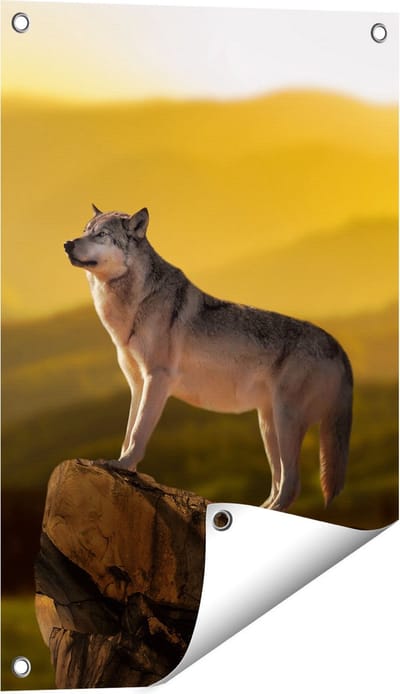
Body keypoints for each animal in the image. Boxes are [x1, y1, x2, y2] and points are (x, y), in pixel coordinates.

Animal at [64, 205, 353, 511]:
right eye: (85, 230)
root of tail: (339, 347)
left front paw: (123, 465)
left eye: (101, 235)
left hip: (286, 421)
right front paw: (122, 465)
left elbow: (139, 433)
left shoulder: (157, 379)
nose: (67, 244)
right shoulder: (137, 385)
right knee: (278, 484)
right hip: (268, 425)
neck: (135, 303)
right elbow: (129, 431)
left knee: (291, 484)